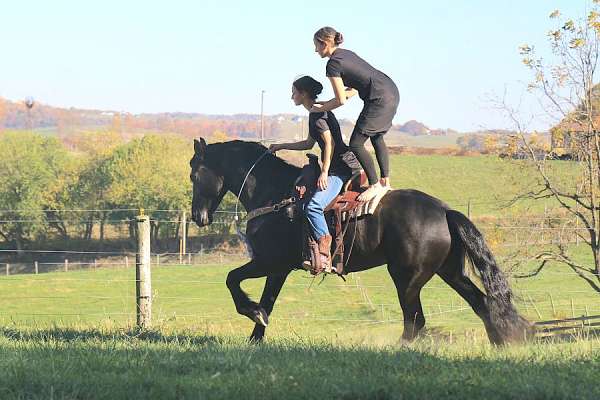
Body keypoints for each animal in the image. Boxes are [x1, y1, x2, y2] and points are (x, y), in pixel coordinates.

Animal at [191, 138, 528, 344]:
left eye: (194, 174)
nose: (198, 216)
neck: (276, 194)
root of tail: (444, 210)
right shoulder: (278, 269)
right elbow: (268, 302)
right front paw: (255, 336)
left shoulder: (270, 262)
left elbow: (233, 280)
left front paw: (251, 312)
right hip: (450, 272)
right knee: (482, 303)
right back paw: (501, 343)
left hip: (407, 278)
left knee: (415, 320)